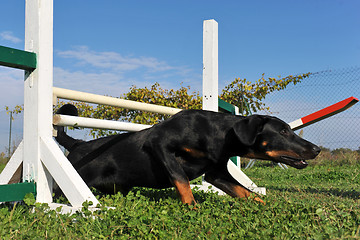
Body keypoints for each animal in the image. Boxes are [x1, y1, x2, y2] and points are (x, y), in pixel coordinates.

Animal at [54, 103, 320, 204]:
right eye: (284, 131)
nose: (316, 149)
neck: (218, 134)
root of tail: (76, 145)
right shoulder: (160, 145)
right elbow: (181, 179)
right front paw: (192, 206)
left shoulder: (217, 173)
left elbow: (245, 192)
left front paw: (267, 206)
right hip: (66, 185)